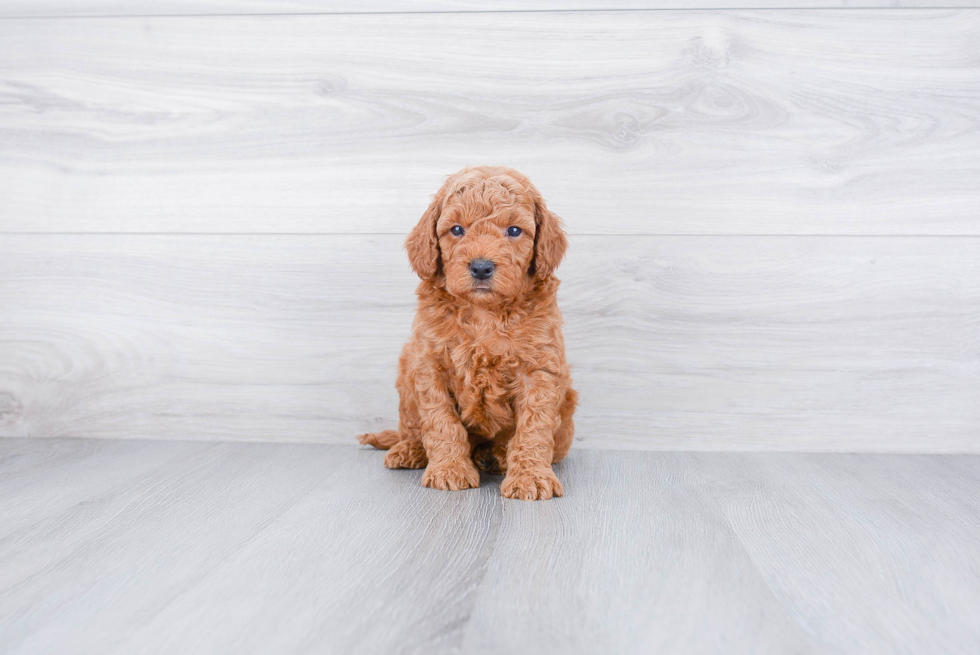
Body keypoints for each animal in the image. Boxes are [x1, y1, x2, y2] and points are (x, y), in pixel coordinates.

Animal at [358, 165, 576, 502]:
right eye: (457, 230)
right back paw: (410, 450)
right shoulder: (430, 364)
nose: (481, 267)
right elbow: (441, 421)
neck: (484, 312)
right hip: (406, 374)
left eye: (515, 231)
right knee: (411, 427)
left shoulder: (539, 370)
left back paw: (496, 456)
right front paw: (449, 470)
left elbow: (533, 427)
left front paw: (531, 476)